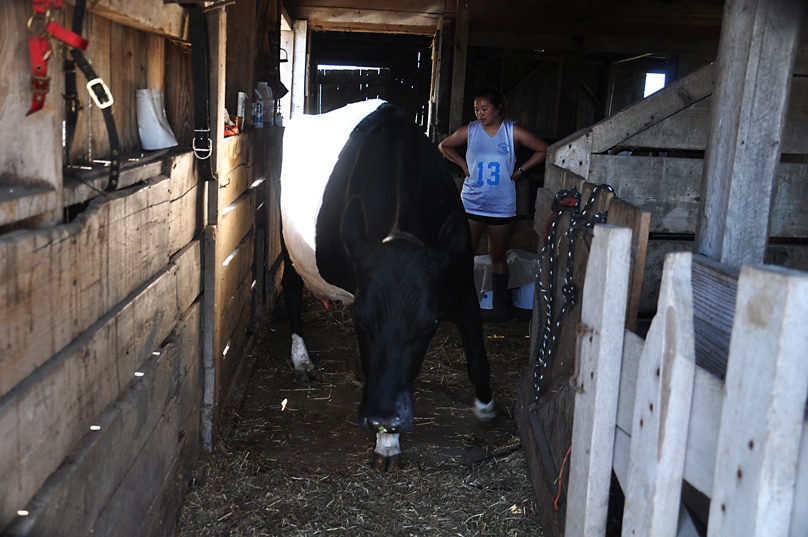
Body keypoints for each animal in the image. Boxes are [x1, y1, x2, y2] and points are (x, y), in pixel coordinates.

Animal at [279, 99, 495, 470]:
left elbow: (478, 357)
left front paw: (486, 406)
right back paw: (302, 361)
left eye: (431, 323)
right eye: (358, 318)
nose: (384, 417)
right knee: (291, 293)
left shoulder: (461, 284)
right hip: (288, 245)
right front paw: (388, 443)